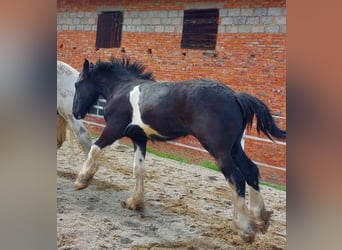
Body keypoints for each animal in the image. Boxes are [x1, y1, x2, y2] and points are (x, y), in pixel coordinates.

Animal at [72, 57, 286, 242]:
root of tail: (234, 96)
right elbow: (139, 169)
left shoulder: (114, 129)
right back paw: (261, 218)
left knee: (236, 178)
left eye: (77, 84)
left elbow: (94, 148)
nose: (76, 112)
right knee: (251, 171)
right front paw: (134, 202)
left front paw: (82, 180)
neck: (122, 89)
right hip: (233, 148)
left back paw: (244, 229)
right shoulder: (139, 138)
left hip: (219, 150)